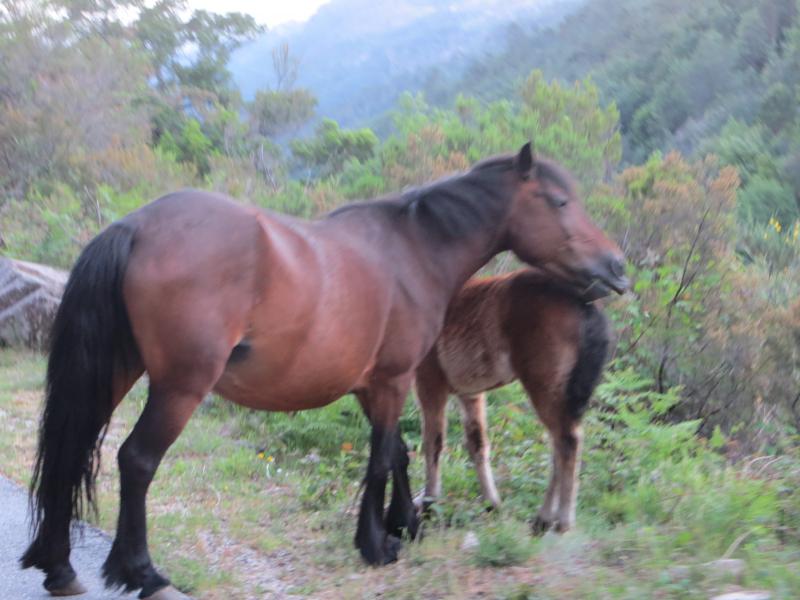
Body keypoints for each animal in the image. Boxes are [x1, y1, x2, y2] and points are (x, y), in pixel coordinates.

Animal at [416, 270, 608, 532]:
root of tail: (586, 305)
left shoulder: (429, 382)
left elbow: (433, 443)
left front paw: (429, 503)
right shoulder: (471, 393)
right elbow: (477, 444)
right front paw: (492, 504)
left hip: (544, 386)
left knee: (567, 440)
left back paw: (561, 521)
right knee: (558, 443)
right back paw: (543, 519)